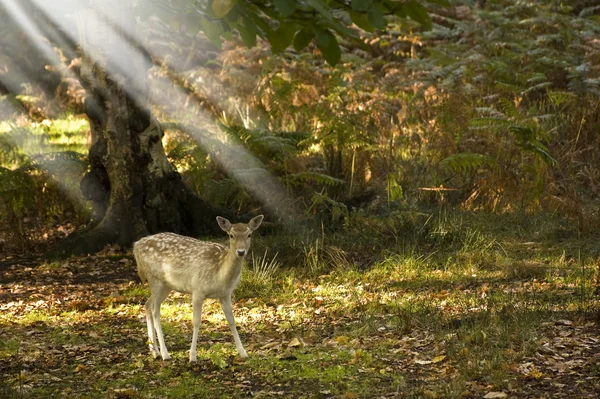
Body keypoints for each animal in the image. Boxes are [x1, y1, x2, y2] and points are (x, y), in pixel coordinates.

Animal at [134, 216, 264, 362]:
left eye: (249, 234)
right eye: (231, 235)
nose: (241, 252)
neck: (220, 275)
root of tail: (136, 245)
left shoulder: (225, 294)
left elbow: (232, 321)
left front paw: (243, 352)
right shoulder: (197, 290)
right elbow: (196, 322)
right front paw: (192, 356)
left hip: (166, 285)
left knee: (147, 304)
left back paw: (154, 351)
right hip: (155, 279)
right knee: (155, 311)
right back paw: (165, 353)